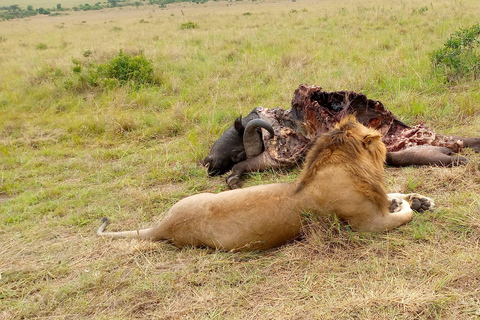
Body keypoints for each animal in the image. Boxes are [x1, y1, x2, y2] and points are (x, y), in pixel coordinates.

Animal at [97, 116, 436, 251]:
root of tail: (164, 225)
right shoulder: (368, 225)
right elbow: (402, 216)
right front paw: (408, 205)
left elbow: (393, 194)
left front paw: (419, 199)